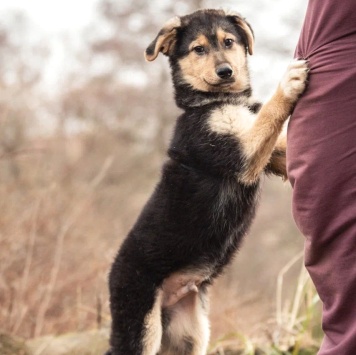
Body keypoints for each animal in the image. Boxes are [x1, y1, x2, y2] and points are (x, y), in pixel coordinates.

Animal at [105, 9, 306, 355]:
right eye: (198, 49)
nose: (225, 71)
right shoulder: (238, 151)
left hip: (189, 335)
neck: (216, 102)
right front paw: (289, 82)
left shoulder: (271, 154)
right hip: (140, 323)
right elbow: (269, 113)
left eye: (228, 42)